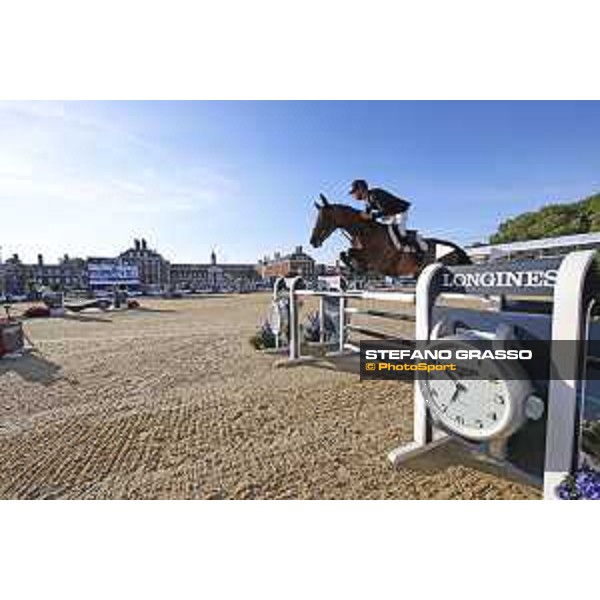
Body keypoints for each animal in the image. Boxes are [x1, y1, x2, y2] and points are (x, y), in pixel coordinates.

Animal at [310, 196, 474, 278]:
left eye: (324, 218)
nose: (313, 242)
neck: (365, 231)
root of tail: (454, 247)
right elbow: (344, 253)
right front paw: (355, 269)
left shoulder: (378, 259)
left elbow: (350, 252)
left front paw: (357, 269)